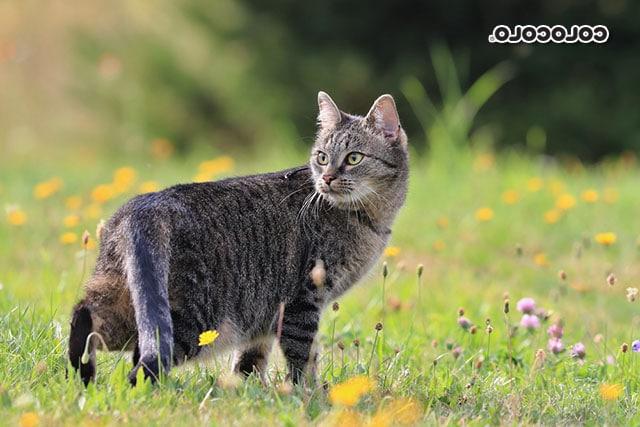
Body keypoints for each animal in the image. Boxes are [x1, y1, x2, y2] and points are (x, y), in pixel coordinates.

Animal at [67, 92, 408, 386]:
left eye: (353, 158)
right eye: (322, 157)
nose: (326, 178)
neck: (369, 218)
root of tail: (144, 206)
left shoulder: (265, 316)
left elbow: (250, 361)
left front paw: (247, 390)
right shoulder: (302, 301)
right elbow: (303, 358)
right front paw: (310, 396)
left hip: (122, 296)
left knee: (85, 315)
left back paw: (82, 375)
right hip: (195, 319)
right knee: (141, 361)